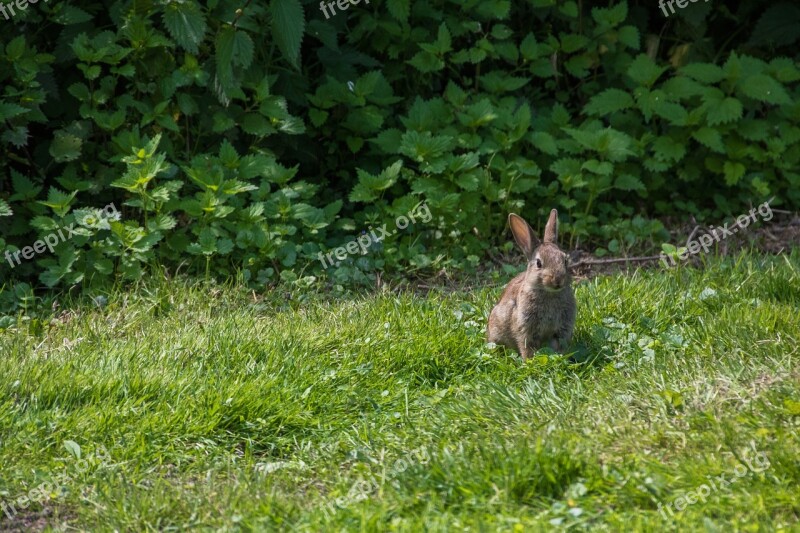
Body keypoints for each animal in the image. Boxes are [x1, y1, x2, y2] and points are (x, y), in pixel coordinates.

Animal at [488, 210, 576, 360]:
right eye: (539, 263)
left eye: (565, 260)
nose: (558, 280)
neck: (549, 293)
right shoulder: (526, 327)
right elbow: (527, 346)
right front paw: (529, 360)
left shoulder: (563, 328)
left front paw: (560, 357)